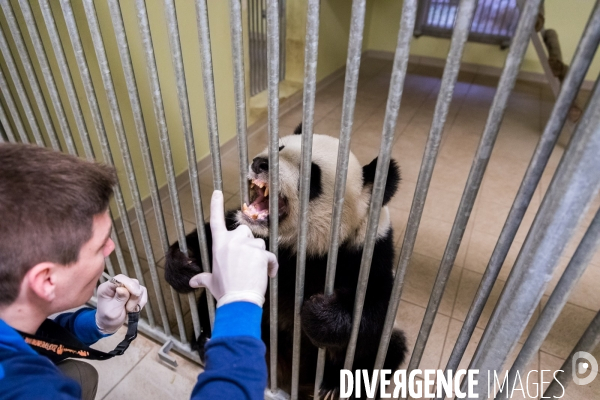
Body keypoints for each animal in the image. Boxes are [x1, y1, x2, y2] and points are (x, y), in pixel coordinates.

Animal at [163, 124, 408, 396]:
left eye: (312, 175)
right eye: (278, 147)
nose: (260, 163)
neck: (298, 247)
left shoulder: (365, 253)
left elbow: (376, 305)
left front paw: (321, 314)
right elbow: (215, 236)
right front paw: (183, 263)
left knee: (384, 350)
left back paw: (335, 388)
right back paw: (210, 342)